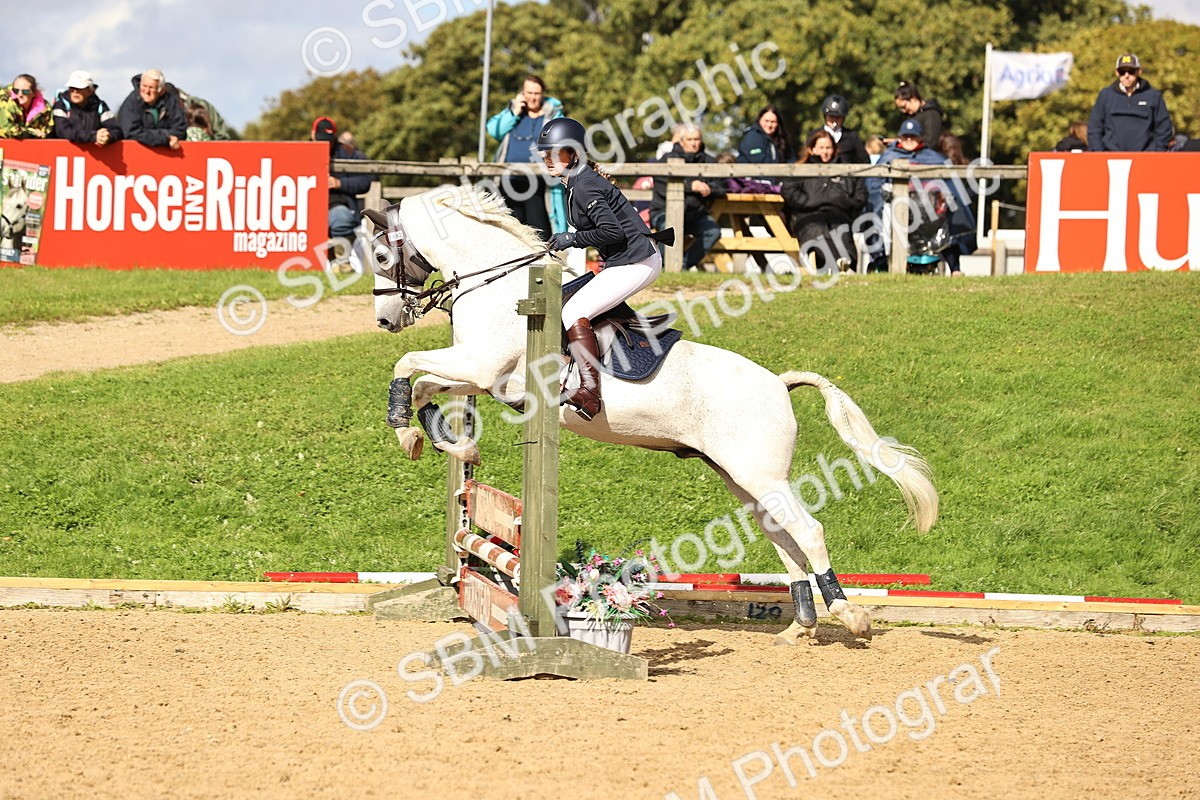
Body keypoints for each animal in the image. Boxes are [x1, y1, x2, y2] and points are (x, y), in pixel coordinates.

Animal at [368, 184, 938, 644]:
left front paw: (411, 429)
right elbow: (424, 387)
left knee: (810, 531)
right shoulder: (480, 375)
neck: (499, 288)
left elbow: (408, 365)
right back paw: (801, 625)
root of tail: (778, 383)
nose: (386, 320)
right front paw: (441, 440)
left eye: (378, 254)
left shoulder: (483, 365)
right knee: (783, 536)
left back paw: (849, 615)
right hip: (742, 479)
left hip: (760, 474)